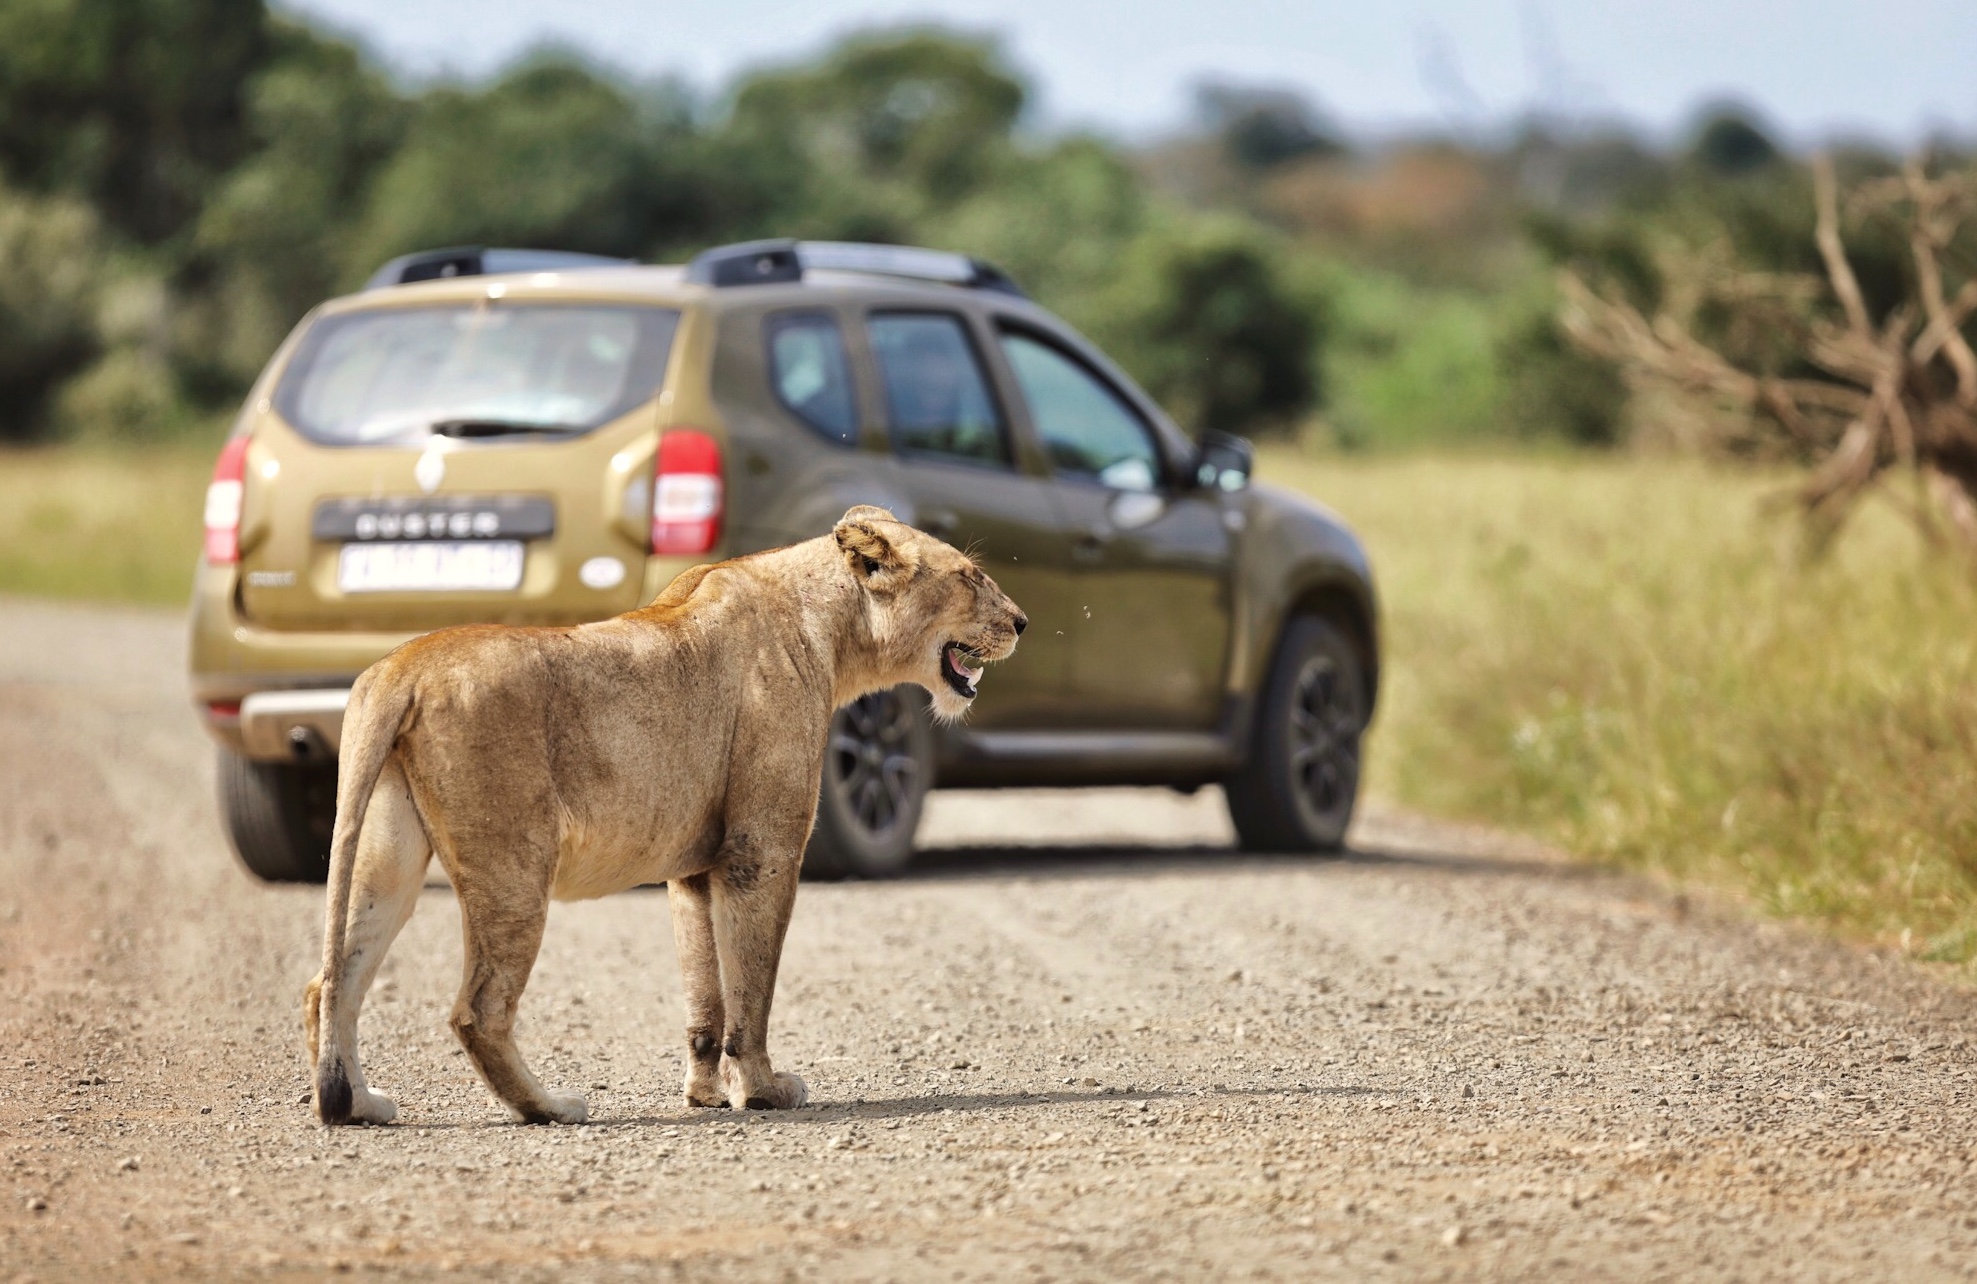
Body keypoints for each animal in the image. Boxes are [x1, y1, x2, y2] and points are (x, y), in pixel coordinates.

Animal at [304, 505, 1025, 1126]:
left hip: (388, 862)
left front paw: (707, 1093)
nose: (1021, 622)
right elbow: (752, 988)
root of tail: (401, 668)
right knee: (476, 1011)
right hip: (514, 867)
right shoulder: (760, 852)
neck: (832, 630)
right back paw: (549, 1106)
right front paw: (763, 1090)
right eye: (970, 576)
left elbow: (706, 996)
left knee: (329, 982)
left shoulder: (694, 870)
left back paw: (358, 1104)